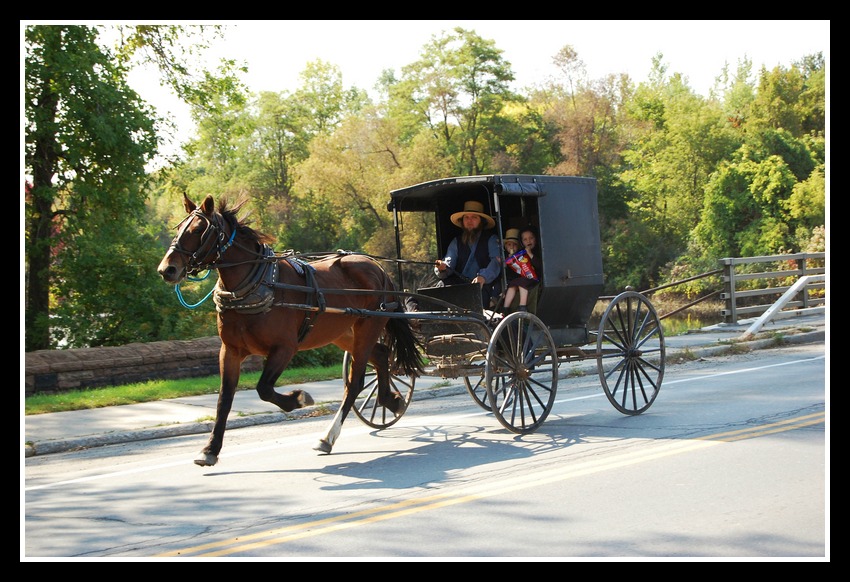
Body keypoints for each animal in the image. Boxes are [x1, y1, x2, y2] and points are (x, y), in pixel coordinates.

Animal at [156, 194, 420, 468]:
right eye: (179, 228)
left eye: (199, 229)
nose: (167, 269)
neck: (259, 284)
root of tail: (378, 268)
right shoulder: (230, 350)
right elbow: (224, 399)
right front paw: (210, 449)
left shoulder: (284, 347)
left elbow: (263, 388)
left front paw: (298, 398)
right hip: (343, 333)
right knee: (380, 355)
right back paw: (391, 400)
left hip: (367, 327)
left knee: (355, 382)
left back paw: (328, 436)